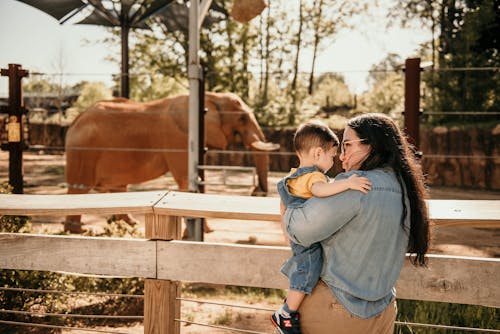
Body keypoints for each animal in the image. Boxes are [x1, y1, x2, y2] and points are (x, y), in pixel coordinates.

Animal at [63, 91, 278, 232]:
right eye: (242, 119)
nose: (256, 191)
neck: (211, 96)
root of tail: (75, 121)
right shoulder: (179, 138)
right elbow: (185, 179)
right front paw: (205, 231)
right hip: (83, 152)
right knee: (79, 188)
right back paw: (79, 231)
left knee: (116, 187)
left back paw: (130, 226)